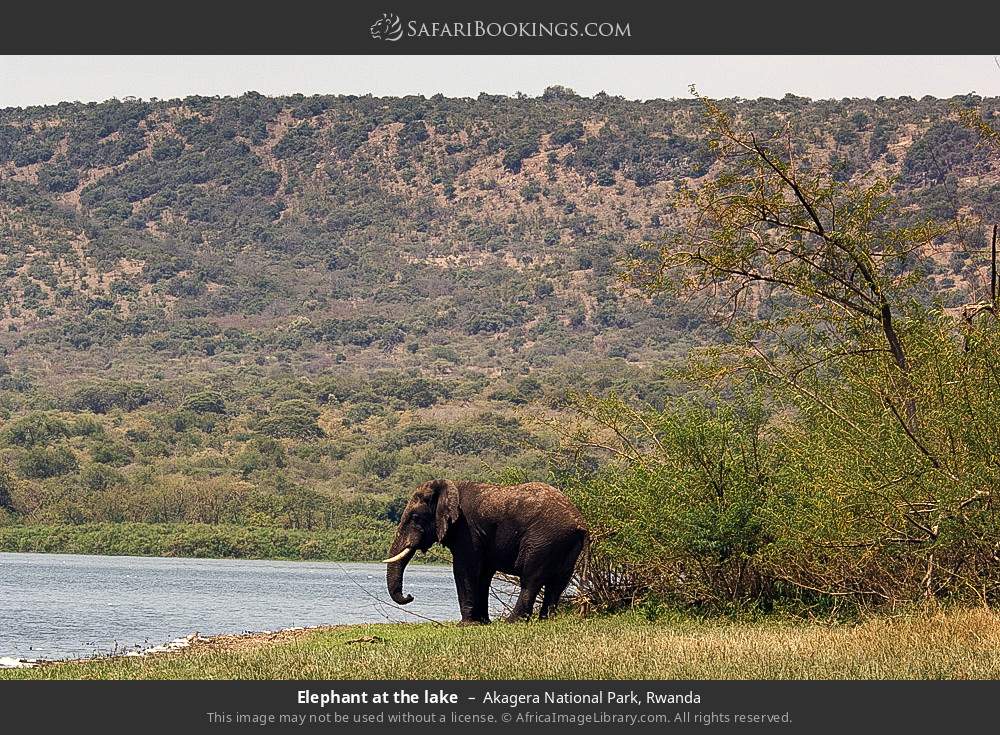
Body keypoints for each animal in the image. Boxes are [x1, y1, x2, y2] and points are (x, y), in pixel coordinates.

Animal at [383, 479, 588, 624]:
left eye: (415, 517)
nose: (410, 596)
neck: (451, 486)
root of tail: (578, 522)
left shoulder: (467, 530)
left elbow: (464, 569)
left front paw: (466, 624)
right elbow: (483, 574)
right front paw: (482, 622)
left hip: (544, 540)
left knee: (531, 579)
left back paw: (512, 621)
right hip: (567, 544)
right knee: (558, 582)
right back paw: (547, 620)